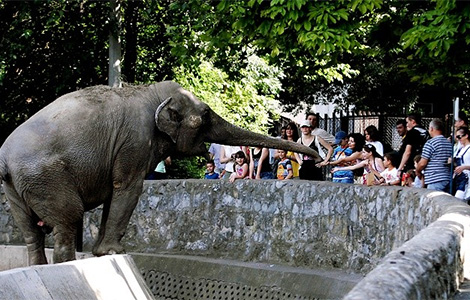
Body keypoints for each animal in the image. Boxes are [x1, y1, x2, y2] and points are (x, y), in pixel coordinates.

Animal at [0, 80, 322, 264]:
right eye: (205, 115)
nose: (318, 159)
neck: (148, 92)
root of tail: (4, 158)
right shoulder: (134, 140)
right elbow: (128, 187)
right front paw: (114, 253)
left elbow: (115, 193)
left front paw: (102, 253)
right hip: (45, 177)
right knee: (68, 219)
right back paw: (67, 263)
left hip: (16, 188)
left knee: (31, 234)